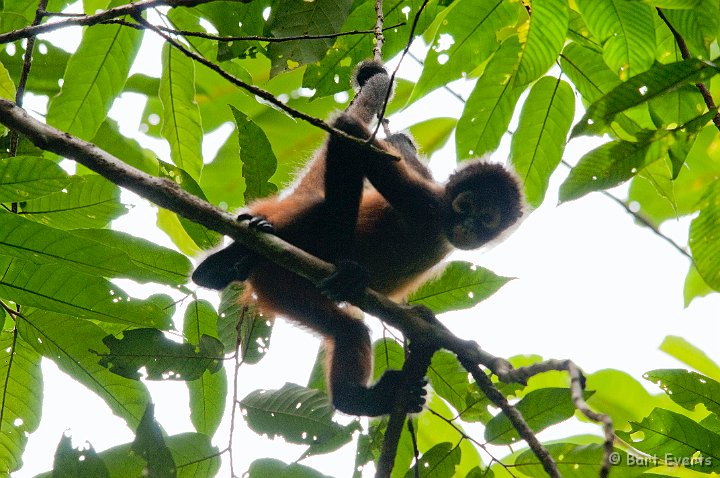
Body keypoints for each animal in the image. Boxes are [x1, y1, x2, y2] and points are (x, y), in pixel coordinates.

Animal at [194, 61, 524, 416]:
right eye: (465, 206)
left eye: (487, 218)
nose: (470, 226)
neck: (443, 229)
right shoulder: (428, 205)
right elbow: (348, 129)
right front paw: (347, 266)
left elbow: (399, 144)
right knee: (325, 210)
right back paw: (226, 264)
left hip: (283, 288)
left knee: (348, 329)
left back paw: (359, 399)